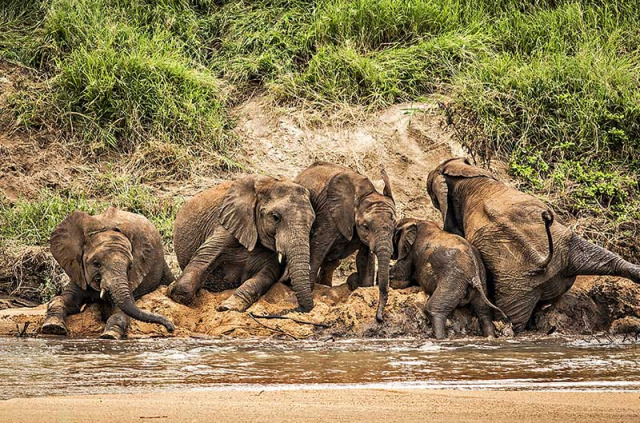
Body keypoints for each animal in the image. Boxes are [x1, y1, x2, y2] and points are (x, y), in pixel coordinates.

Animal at [40, 207, 175, 340]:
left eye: (130, 266)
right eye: (96, 264)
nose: (171, 328)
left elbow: (120, 313)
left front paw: (110, 336)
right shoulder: (78, 271)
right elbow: (63, 300)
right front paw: (52, 327)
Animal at [166, 175, 314, 312]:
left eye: (312, 221)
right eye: (275, 217)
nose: (298, 309)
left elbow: (267, 274)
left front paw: (227, 307)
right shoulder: (228, 223)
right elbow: (205, 255)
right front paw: (176, 294)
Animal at [296, 161, 396, 322]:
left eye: (395, 225)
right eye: (365, 226)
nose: (379, 318)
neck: (364, 195)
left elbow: (365, 259)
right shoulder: (329, 214)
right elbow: (318, 249)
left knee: (330, 264)